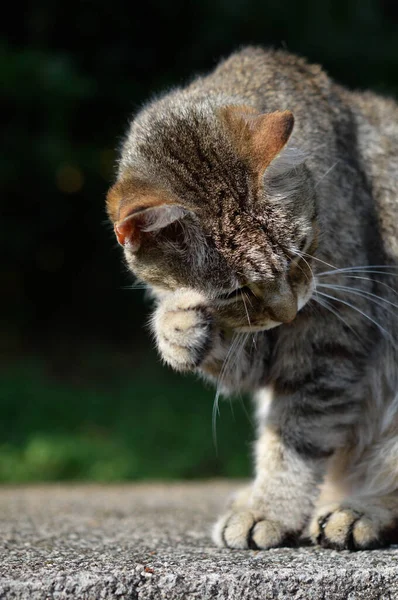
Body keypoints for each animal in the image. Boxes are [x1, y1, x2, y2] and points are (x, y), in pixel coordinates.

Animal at [105, 47, 398, 552]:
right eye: (235, 291)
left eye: (300, 251)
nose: (287, 310)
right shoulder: (261, 345)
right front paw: (176, 328)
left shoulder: (334, 329)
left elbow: (297, 433)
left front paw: (270, 508)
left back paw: (359, 510)